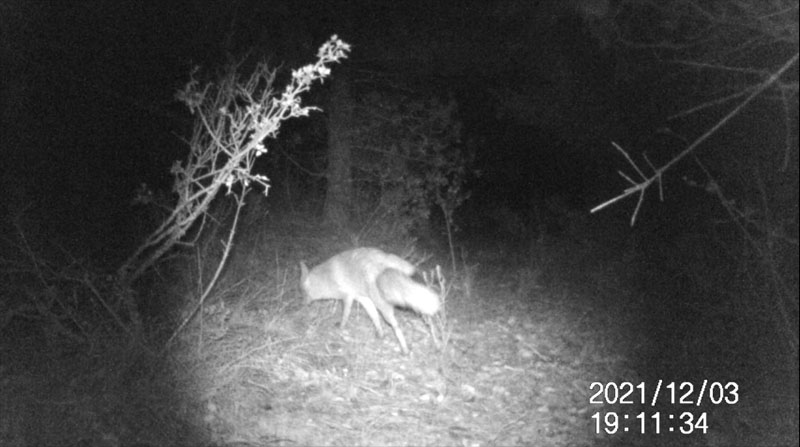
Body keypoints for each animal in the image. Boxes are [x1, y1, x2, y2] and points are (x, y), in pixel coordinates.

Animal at [300, 247, 440, 356]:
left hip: (384, 307)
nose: (303, 305)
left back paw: (405, 350)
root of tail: (386, 261)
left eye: (304, 292)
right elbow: (374, 317)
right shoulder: (363, 299)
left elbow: (345, 315)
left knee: (396, 326)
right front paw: (380, 333)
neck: (328, 278)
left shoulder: (348, 297)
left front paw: (340, 327)